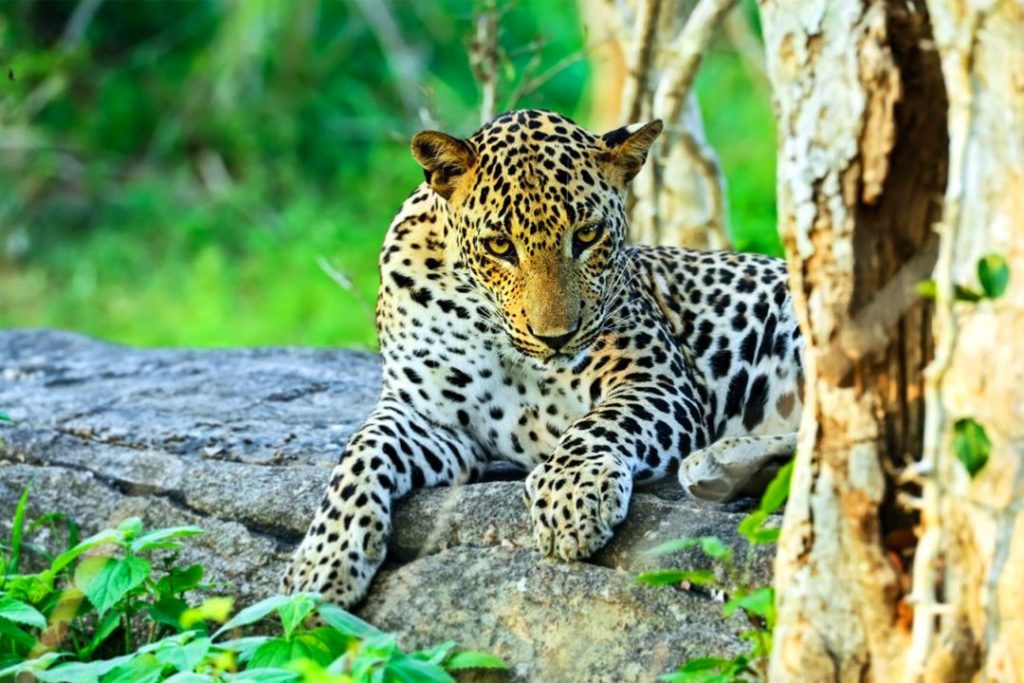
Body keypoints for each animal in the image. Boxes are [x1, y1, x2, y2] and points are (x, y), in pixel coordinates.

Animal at [284, 109, 802, 606]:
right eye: (499, 245)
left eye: (588, 235)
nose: (556, 337)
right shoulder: (428, 416)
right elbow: (360, 453)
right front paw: (321, 561)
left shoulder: (657, 380)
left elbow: (600, 422)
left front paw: (570, 496)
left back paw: (717, 464)